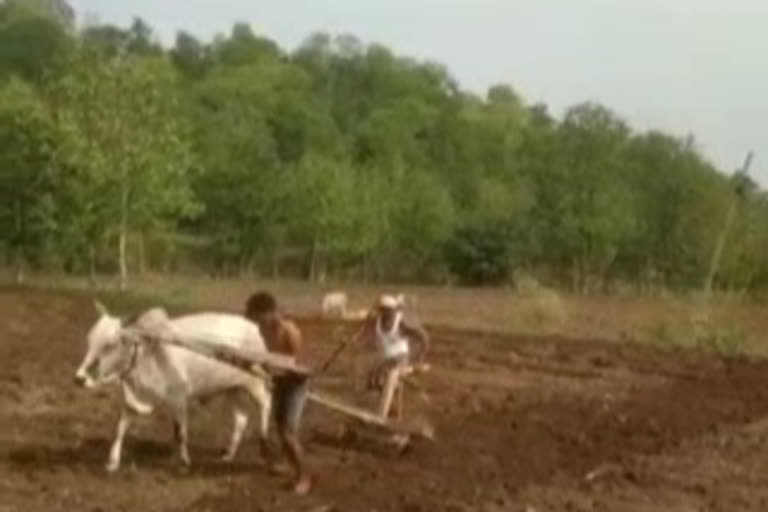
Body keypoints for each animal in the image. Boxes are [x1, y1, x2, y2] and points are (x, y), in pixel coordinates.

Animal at [74, 300, 272, 472]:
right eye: (90, 339)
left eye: (111, 344)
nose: (79, 378)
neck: (148, 353)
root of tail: (253, 327)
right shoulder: (132, 400)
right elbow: (119, 429)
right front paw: (113, 463)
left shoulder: (179, 399)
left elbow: (179, 433)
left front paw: (184, 462)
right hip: (234, 389)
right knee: (241, 420)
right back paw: (229, 455)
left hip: (255, 383)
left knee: (266, 404)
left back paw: (264, 447)